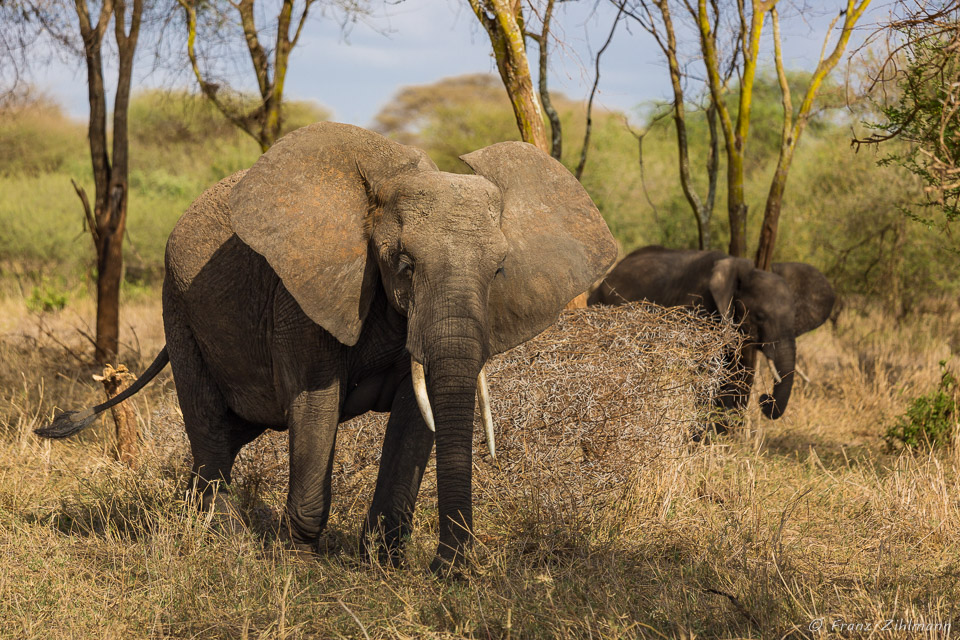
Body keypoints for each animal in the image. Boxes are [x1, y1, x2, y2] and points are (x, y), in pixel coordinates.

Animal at [39, 121, 616, 568]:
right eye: (404, 263)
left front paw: (384, 563)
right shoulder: (304, 294)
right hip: (178, 307)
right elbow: (316, 403)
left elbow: (416, 415)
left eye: (498, 270)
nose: (451, 568)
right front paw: (300, 561)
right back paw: (223, 541)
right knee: (209, 423)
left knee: (236, 428)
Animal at [584, 245, 832, 424]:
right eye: (760, 316)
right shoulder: (698, 309)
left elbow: (734, 376)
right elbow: (705, 373)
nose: (765, 400)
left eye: (795, 317)